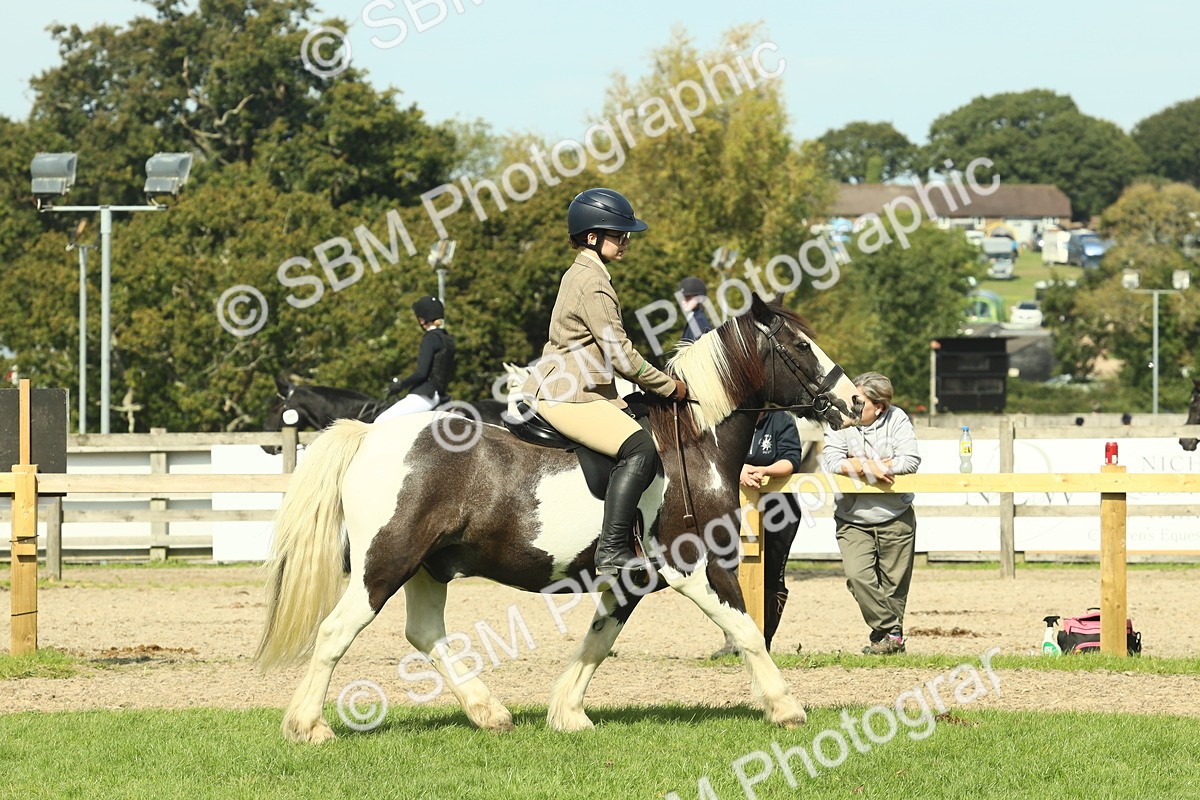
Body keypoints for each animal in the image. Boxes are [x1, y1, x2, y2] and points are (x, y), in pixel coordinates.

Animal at [255, 294, 861, 743]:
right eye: (799, 346)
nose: (855, 402)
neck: (692, 440)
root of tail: (370, 436)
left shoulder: (634, 579)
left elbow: (599, 640)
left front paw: (567, 713)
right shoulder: (694, 565)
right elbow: (747, 632)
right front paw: (785, 707)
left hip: (427, 566)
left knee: (425, 633)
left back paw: (488, 712)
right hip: (386, 562)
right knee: (336, 631)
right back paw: (309, 726)